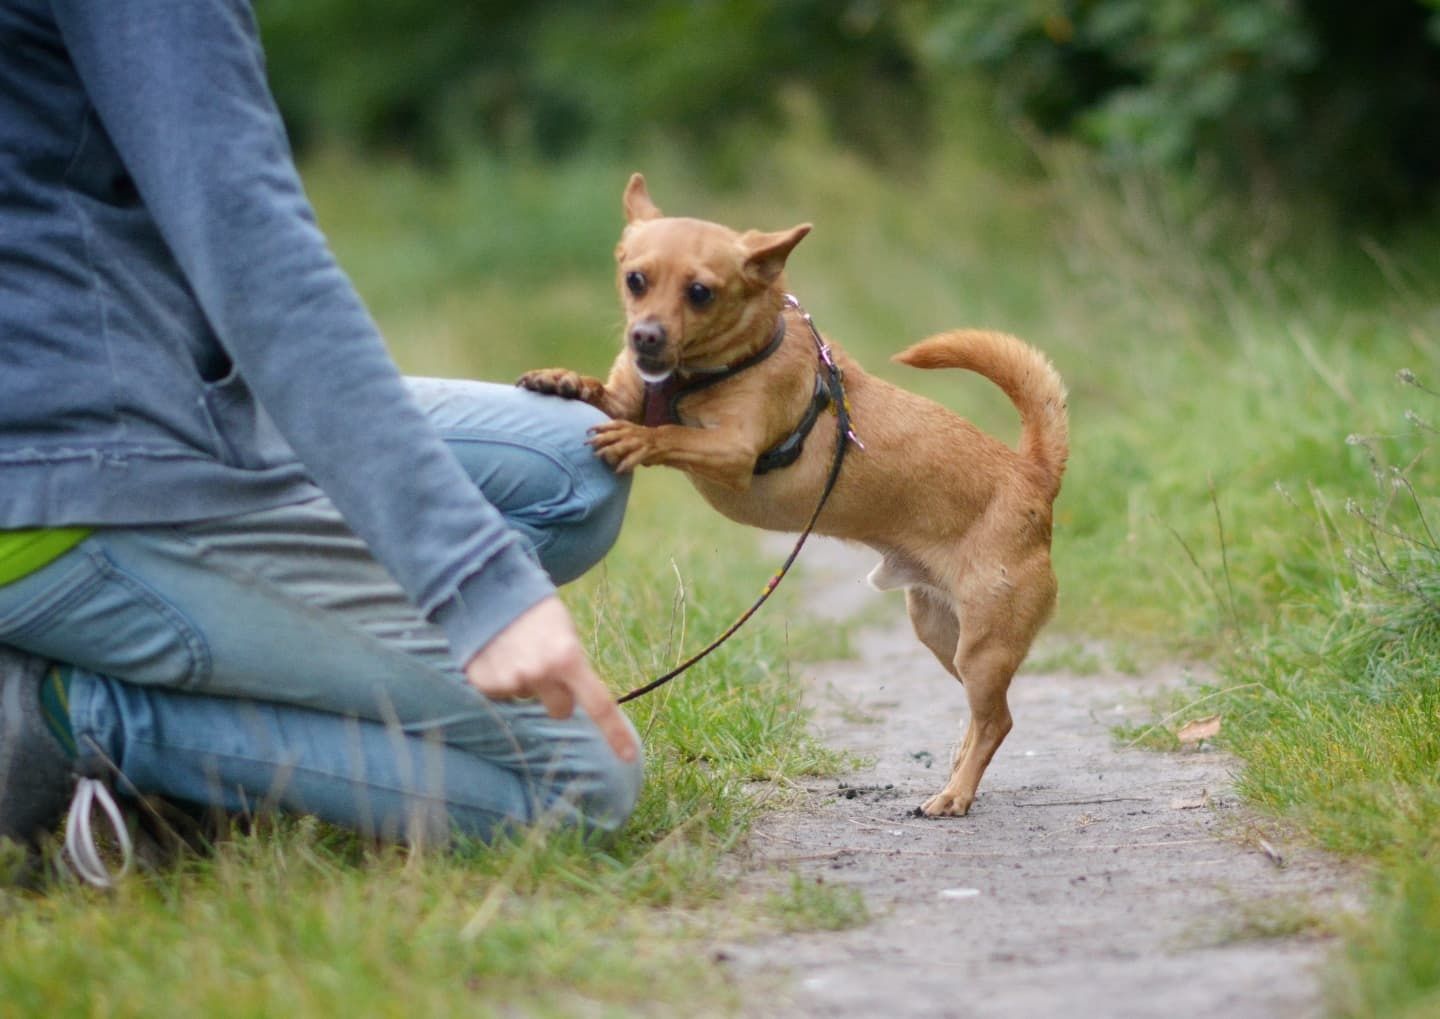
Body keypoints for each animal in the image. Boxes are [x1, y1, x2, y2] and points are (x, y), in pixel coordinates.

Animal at [521, 173, 1071, 811]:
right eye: (635, 279)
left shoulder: (732, 451)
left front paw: (639, 437)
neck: (697, 373)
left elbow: (670, 435)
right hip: (938, 630)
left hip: (983, 647)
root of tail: (1034, 474)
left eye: (701, 292)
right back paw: (956, 777)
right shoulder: (632, 395)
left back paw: (955, 796)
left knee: (997, 720)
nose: (645, 336)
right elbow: (608, 396)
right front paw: (563, 380)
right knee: (981, 718)